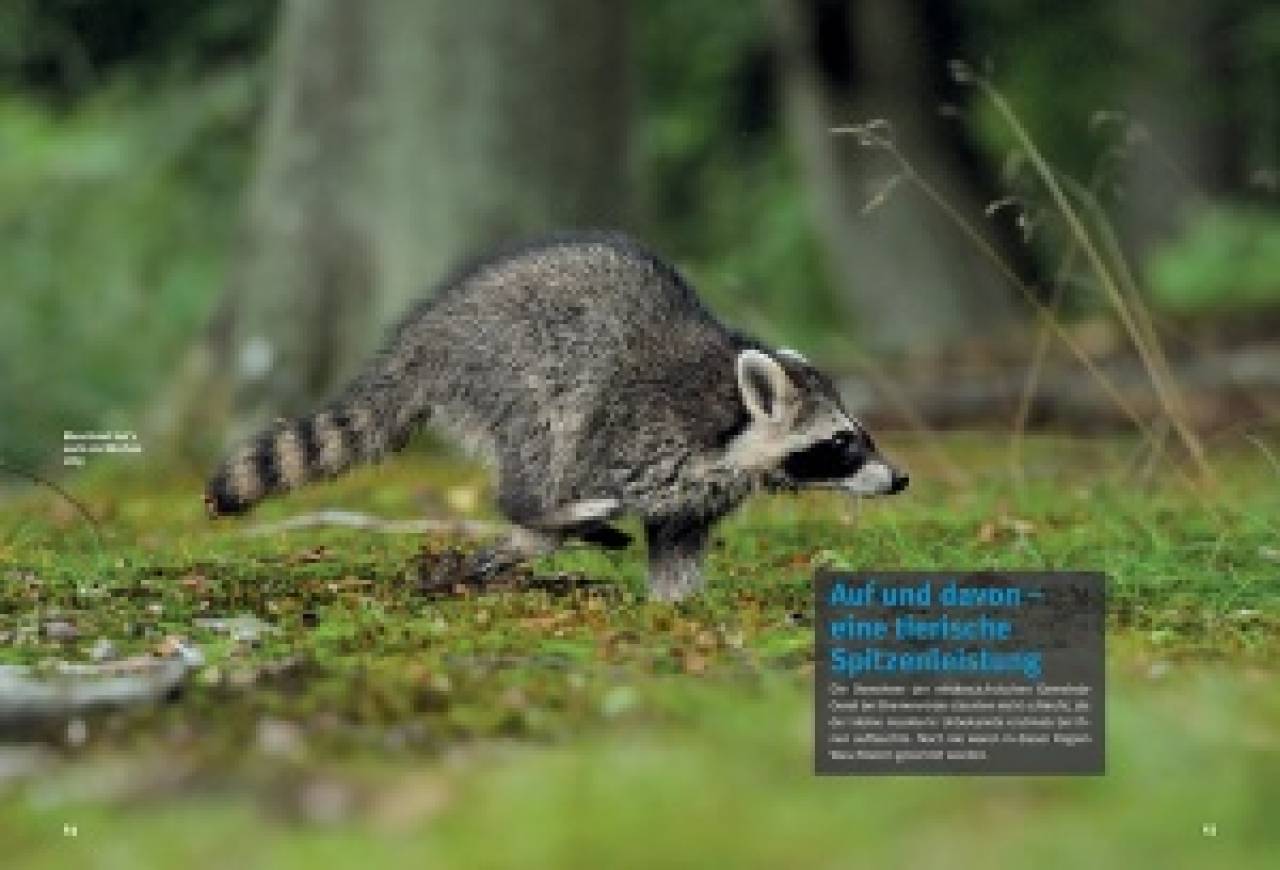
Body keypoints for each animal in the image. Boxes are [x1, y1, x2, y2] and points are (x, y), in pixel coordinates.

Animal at [204, 229, 906, 598]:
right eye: (842, 443)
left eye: (859, 434)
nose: (900, 478)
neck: (731, 416)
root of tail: (424, 335)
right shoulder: (642, 430)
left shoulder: (695, 490)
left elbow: (677, 542)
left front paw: (677, 608)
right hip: (516, 369)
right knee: (544, 445)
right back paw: (552, 511)